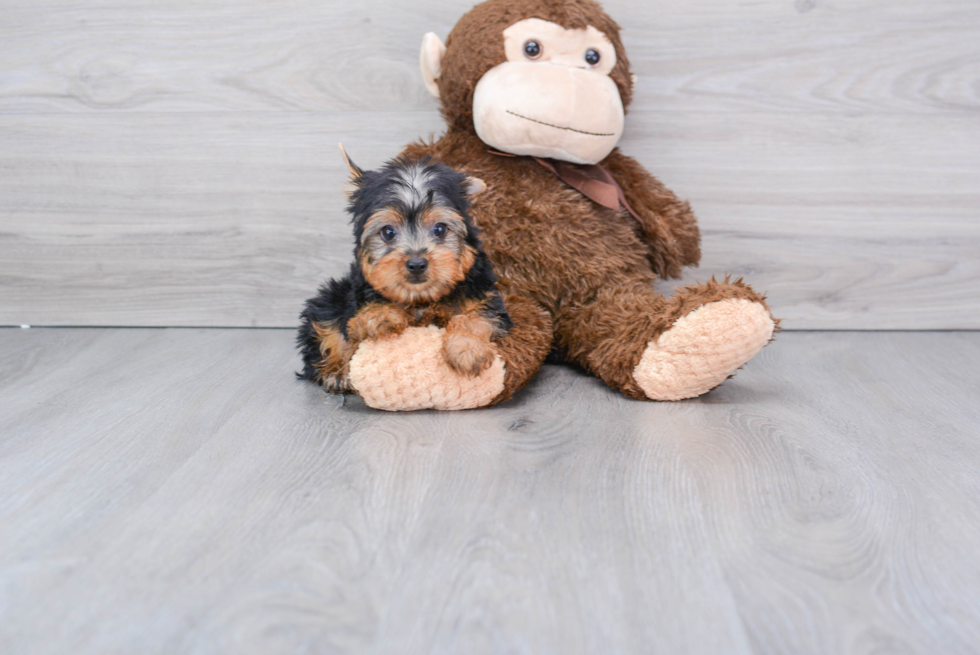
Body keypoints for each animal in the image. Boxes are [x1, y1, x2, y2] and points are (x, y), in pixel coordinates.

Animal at [296, 149, 512, 394]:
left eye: (440, 229)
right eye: (388, 232)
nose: (416, 264)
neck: (420, 298)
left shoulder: (484, 295)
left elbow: (477, 317)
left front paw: (467, 349)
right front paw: (379, 315)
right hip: (332, 296)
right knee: (326, 324)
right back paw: (335, 373)